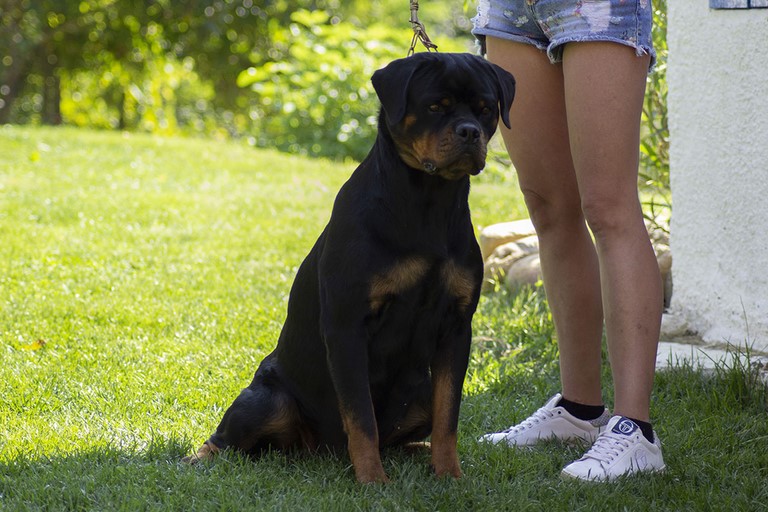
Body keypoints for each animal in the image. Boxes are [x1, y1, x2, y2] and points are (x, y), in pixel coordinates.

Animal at [183, 53, 512, 484]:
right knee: (226, 440)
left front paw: (449, 475)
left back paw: (418, 453)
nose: (470, 132)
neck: (428, 202)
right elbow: (361, 418)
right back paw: (197, 459)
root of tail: (317, 450)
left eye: (486, 109)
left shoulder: (456, 327)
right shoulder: (347, 326)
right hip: (268, 398)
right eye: (435, 106)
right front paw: (373, 481)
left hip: (420, 392)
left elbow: (448, 416)